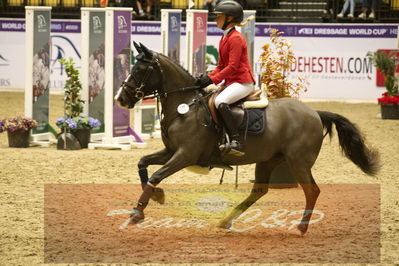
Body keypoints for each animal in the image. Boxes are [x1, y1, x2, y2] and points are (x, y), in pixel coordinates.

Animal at [114, 42, 380, 234]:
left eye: (140, 69)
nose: (121, 99)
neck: (185, 106)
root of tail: (315, 113)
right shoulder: (171, 152)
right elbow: (143, 164)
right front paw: (155, 198)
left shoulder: (184, 155)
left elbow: (156, 175)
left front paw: (137, 213)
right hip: (269, 160)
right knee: (259, 191)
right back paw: (225, 221)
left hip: (298, 162)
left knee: (312, 191)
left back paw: (302, 227)